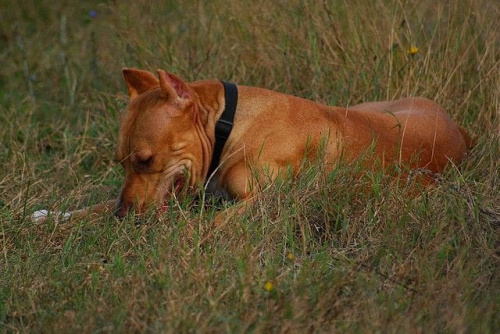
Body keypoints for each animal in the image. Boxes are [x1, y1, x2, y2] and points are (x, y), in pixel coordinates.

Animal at [31, 68, 472, 223]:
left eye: (146, 159)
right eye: (121, 163)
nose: (122, 218)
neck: (228, 125)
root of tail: (462, 131)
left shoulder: (263, 199)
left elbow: (208, 224)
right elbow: (93, 205)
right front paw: (52, 216)